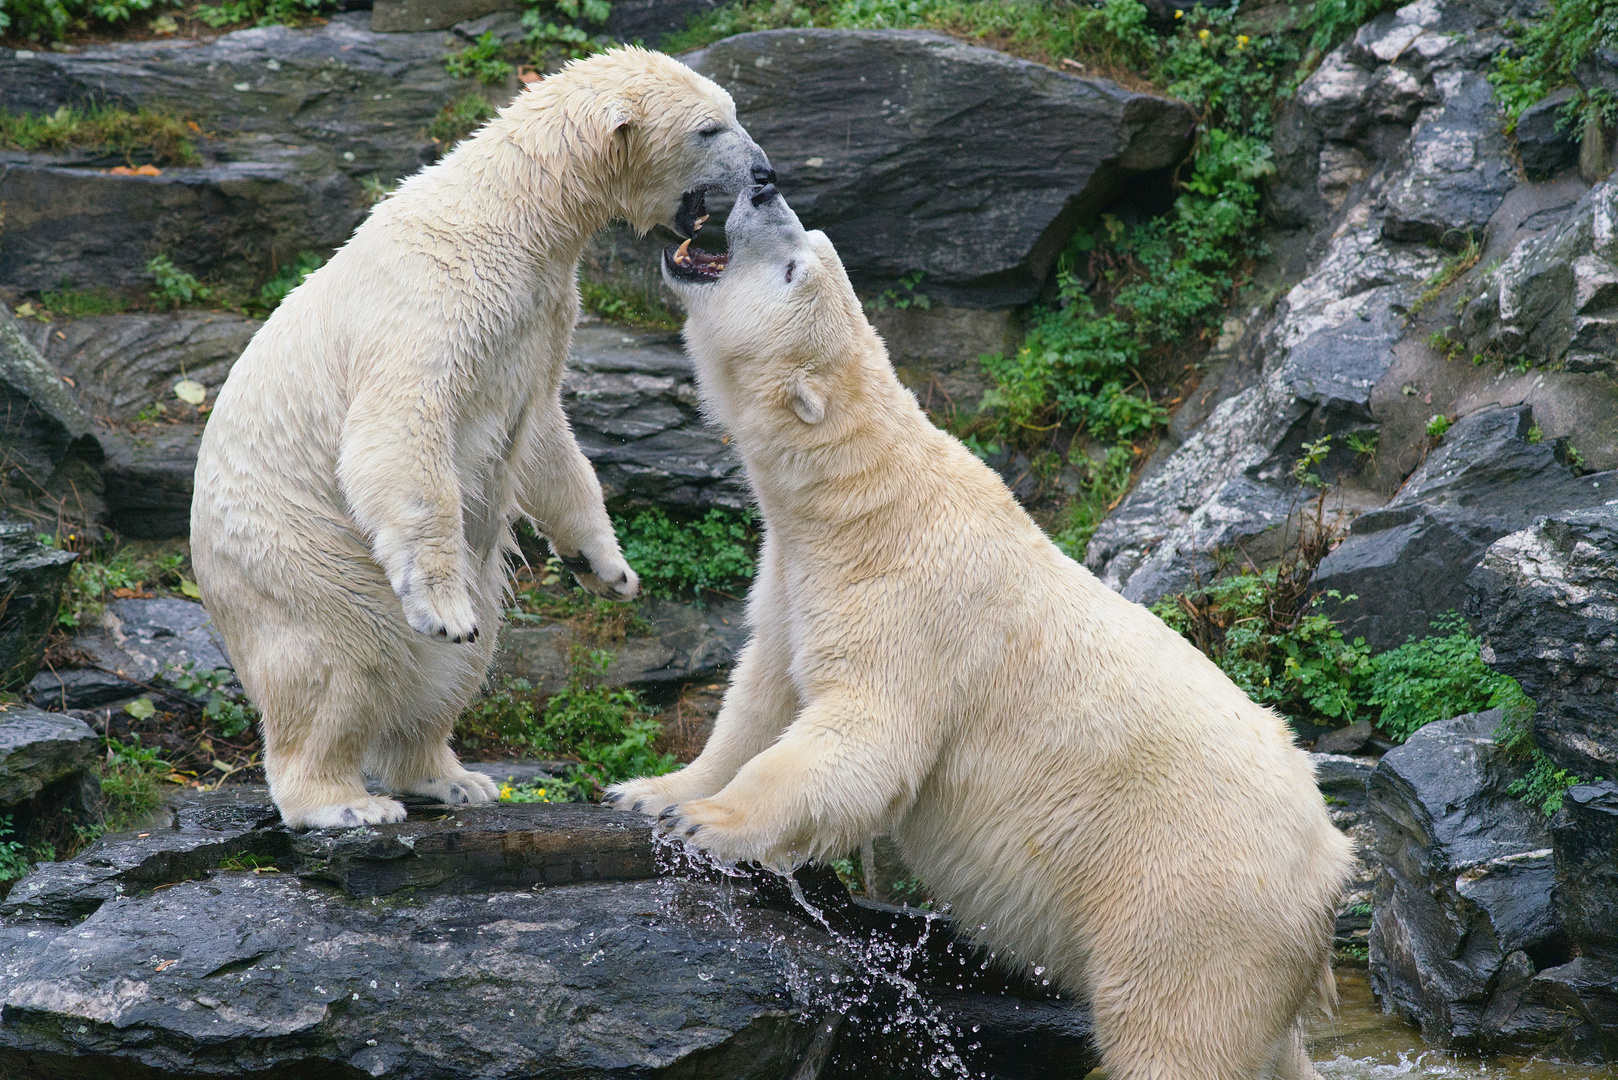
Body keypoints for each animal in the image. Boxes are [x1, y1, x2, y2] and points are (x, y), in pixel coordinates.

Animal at [189, 48, 770, 829]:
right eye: (710, 128)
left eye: (732, 112)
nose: (766, 172)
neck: (514, 218)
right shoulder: (435, 302)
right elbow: (400, 430)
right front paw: (442, 611)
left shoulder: (540, 316)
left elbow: (548, 436)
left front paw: (606, 568)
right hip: (298, 559)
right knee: (343, 661)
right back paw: (346, 802)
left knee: (461, 667)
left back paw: (450, 777)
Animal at [611, 186, 1359, 1080]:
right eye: (810, 240)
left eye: (793, 264)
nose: (763, 190)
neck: (862, 498)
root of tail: (1332, 867)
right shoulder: (793, 578)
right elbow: (761, 695)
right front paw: (652, 790)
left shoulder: (908, 606)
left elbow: (864, 738)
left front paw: (710, 824)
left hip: (1191, 902)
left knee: (1176, 1033)